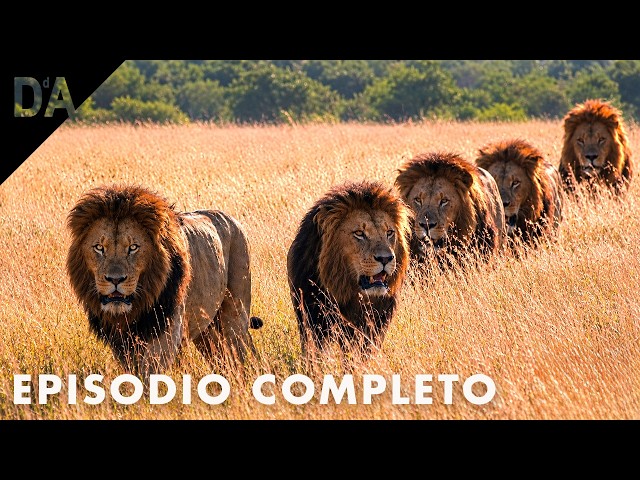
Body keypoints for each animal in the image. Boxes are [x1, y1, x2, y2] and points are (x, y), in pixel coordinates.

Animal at [66, 184, 263, 381]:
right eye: (99, 248)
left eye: (133, 247)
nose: (115, 279)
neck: (138, 306)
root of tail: (232, 219)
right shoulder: (122, 341)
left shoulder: (167, 332)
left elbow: (148, 372)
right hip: (206, 328)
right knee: (221, 359)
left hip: (235, 315)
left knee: (240, 353)